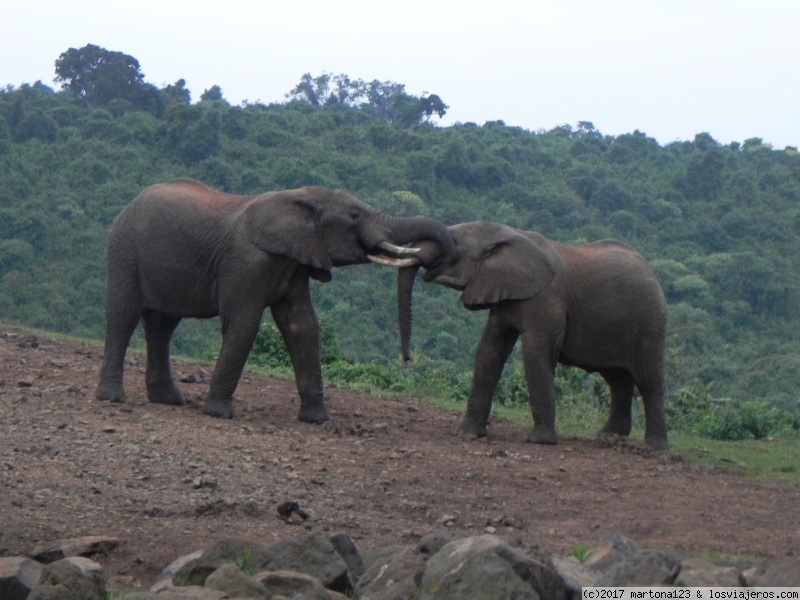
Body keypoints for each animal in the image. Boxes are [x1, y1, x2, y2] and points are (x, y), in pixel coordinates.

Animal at [396, 220, 668, 450]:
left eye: (452, 241)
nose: (407, 359)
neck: (510, 234)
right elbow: (489, 350)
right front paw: (466, 434)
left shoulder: (546, 298)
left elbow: (535, 354)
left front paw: (540, 441)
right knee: (617, 380)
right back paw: (606, 438)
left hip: (650, 323)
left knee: (649, 380)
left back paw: (653, 448)